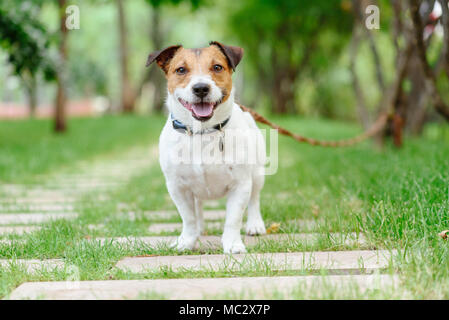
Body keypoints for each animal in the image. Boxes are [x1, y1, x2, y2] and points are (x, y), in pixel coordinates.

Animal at [147, 42, 266, 252]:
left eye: (217, 67)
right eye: (181, 70)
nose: (201, 88)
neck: (202, 133)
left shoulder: (240, 184)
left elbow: (233, 219)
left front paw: (233, 244)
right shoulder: (177, 186)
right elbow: (188, 218)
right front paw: (186, 241)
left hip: (258, 174)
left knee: (254, 200)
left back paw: (255, 224)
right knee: (198, 206)